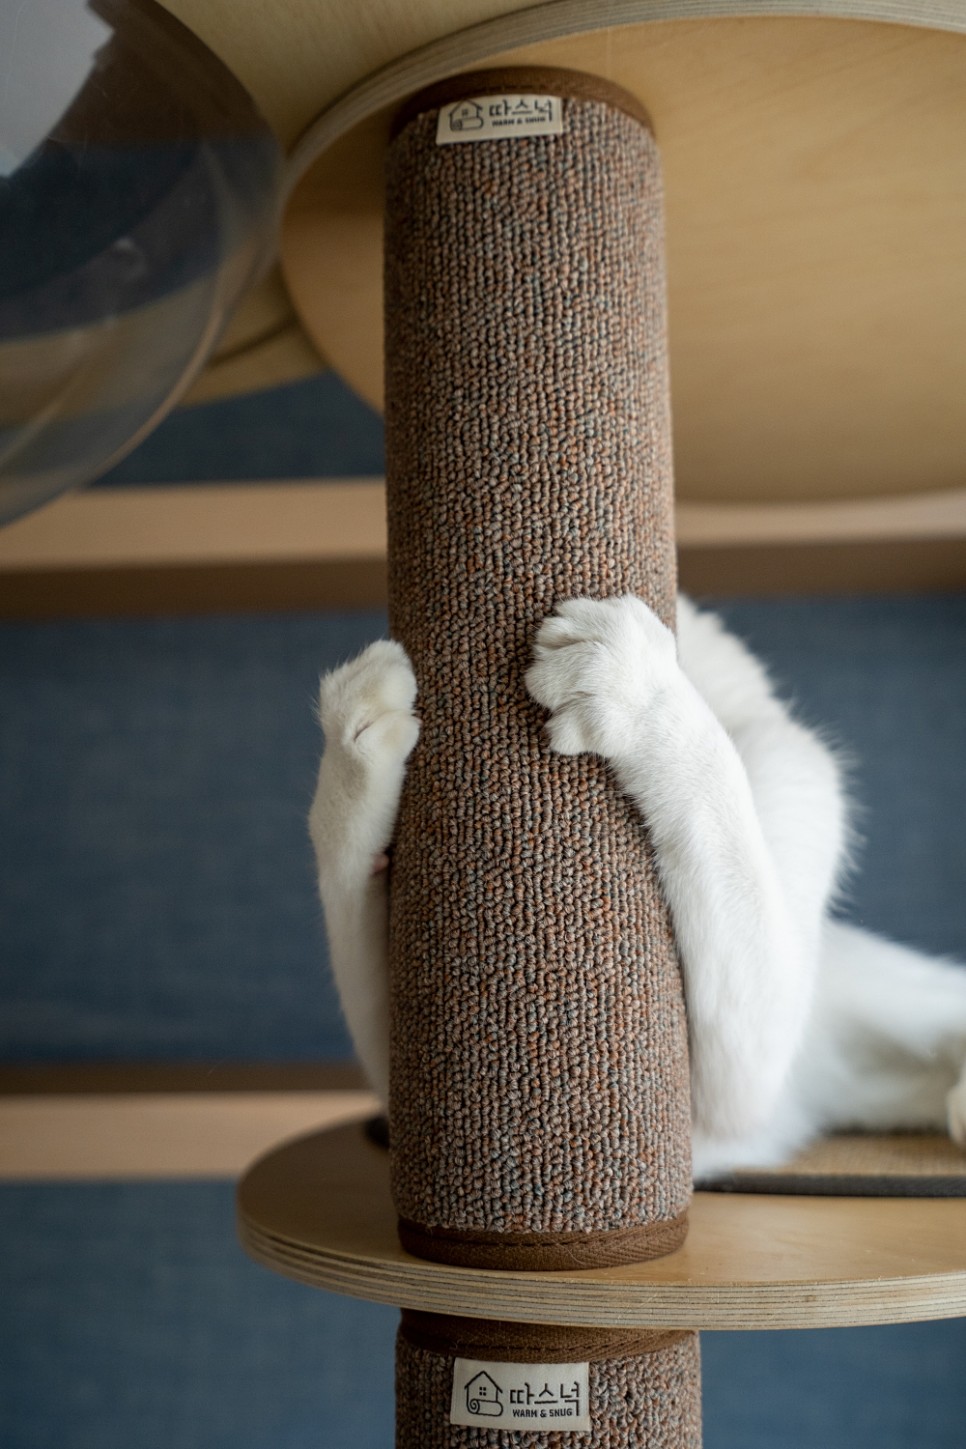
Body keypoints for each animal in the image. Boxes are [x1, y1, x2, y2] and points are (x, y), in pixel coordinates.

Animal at [309, 594, 966, 1182]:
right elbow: (339, 855)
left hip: (886, 998)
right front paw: (355, 735)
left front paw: (635, 687)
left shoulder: (736, 1093)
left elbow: (710, 772)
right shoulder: (395, 1078)